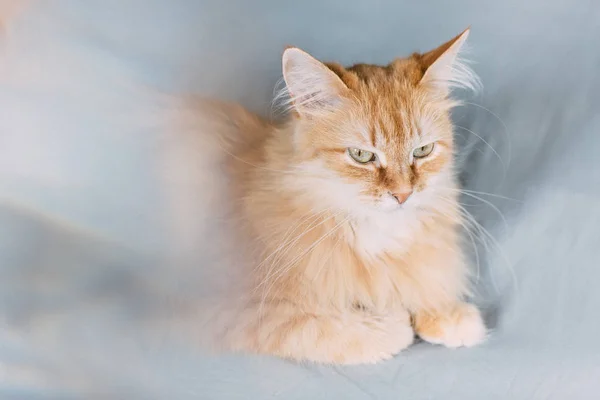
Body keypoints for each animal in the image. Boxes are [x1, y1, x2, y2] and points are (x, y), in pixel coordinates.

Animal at [199, 28, 486, 366]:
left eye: (422, 151)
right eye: (361, 155)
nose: (403, 195)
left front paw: (447, 313)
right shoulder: (241, 312)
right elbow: (330, 330)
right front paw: (394, 320)